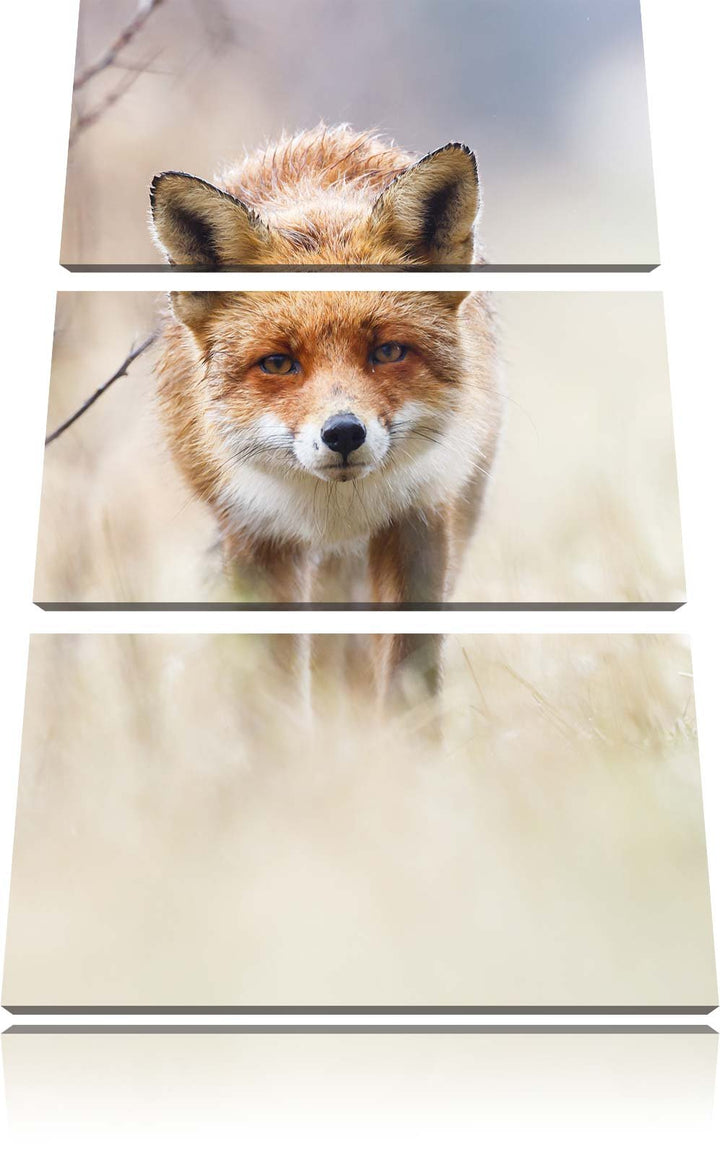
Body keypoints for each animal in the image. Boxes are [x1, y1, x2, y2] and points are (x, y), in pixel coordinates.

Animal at [149, 125, 503, 704]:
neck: (336, 511)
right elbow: (270, 692)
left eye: (388, 351)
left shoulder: (419, 519)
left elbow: (409, 680)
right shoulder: (255, 536)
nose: (342, 434)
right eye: (278, 363)